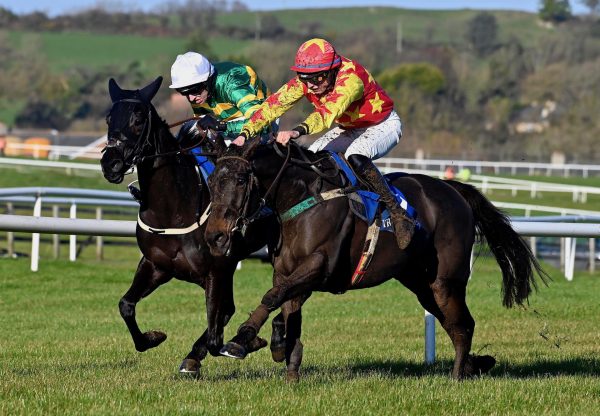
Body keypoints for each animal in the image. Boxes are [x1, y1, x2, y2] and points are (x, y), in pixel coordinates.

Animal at [102, 76, 280, 376]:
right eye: (108, 118)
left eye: (138, 119)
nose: (110, 163)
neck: (173, 209)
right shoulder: (157, 266)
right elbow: (125, 305)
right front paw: (153, 337)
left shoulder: (215, 270)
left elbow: (215, 335)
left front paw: (241, 344)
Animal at [203, 141, 548, 382]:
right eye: (212, 182)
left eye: (240, 180)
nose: (215, 236)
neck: (303, 198)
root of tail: (454, 189)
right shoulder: (289, 272)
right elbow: (287, 312)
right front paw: (286, 364)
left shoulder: (319, 264)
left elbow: (272, 297)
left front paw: (242, 338)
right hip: (421, 282)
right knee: (452, 321)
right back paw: (475, 364)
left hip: (445, 281)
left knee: (462, 324)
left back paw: (457, 375)